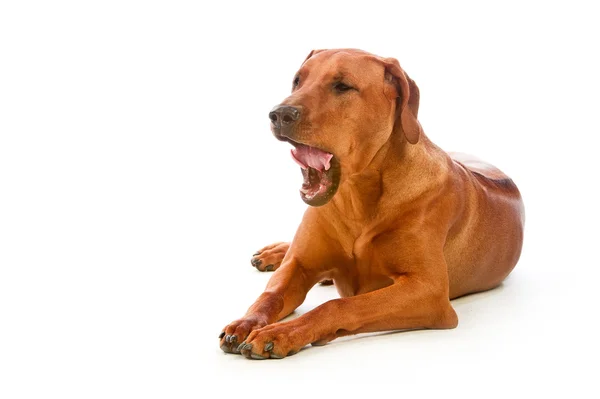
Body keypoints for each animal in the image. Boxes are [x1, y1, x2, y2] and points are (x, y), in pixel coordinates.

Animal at [218, 48, 524, 360]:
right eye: (297, 81)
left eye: (342, 86)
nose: (279, 114)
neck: (356, 199)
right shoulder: (298, 266)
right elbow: (270, 295)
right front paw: (246, 322)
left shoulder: (428, 292)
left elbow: (338, 305)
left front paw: (282, 332)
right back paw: (275, 253)